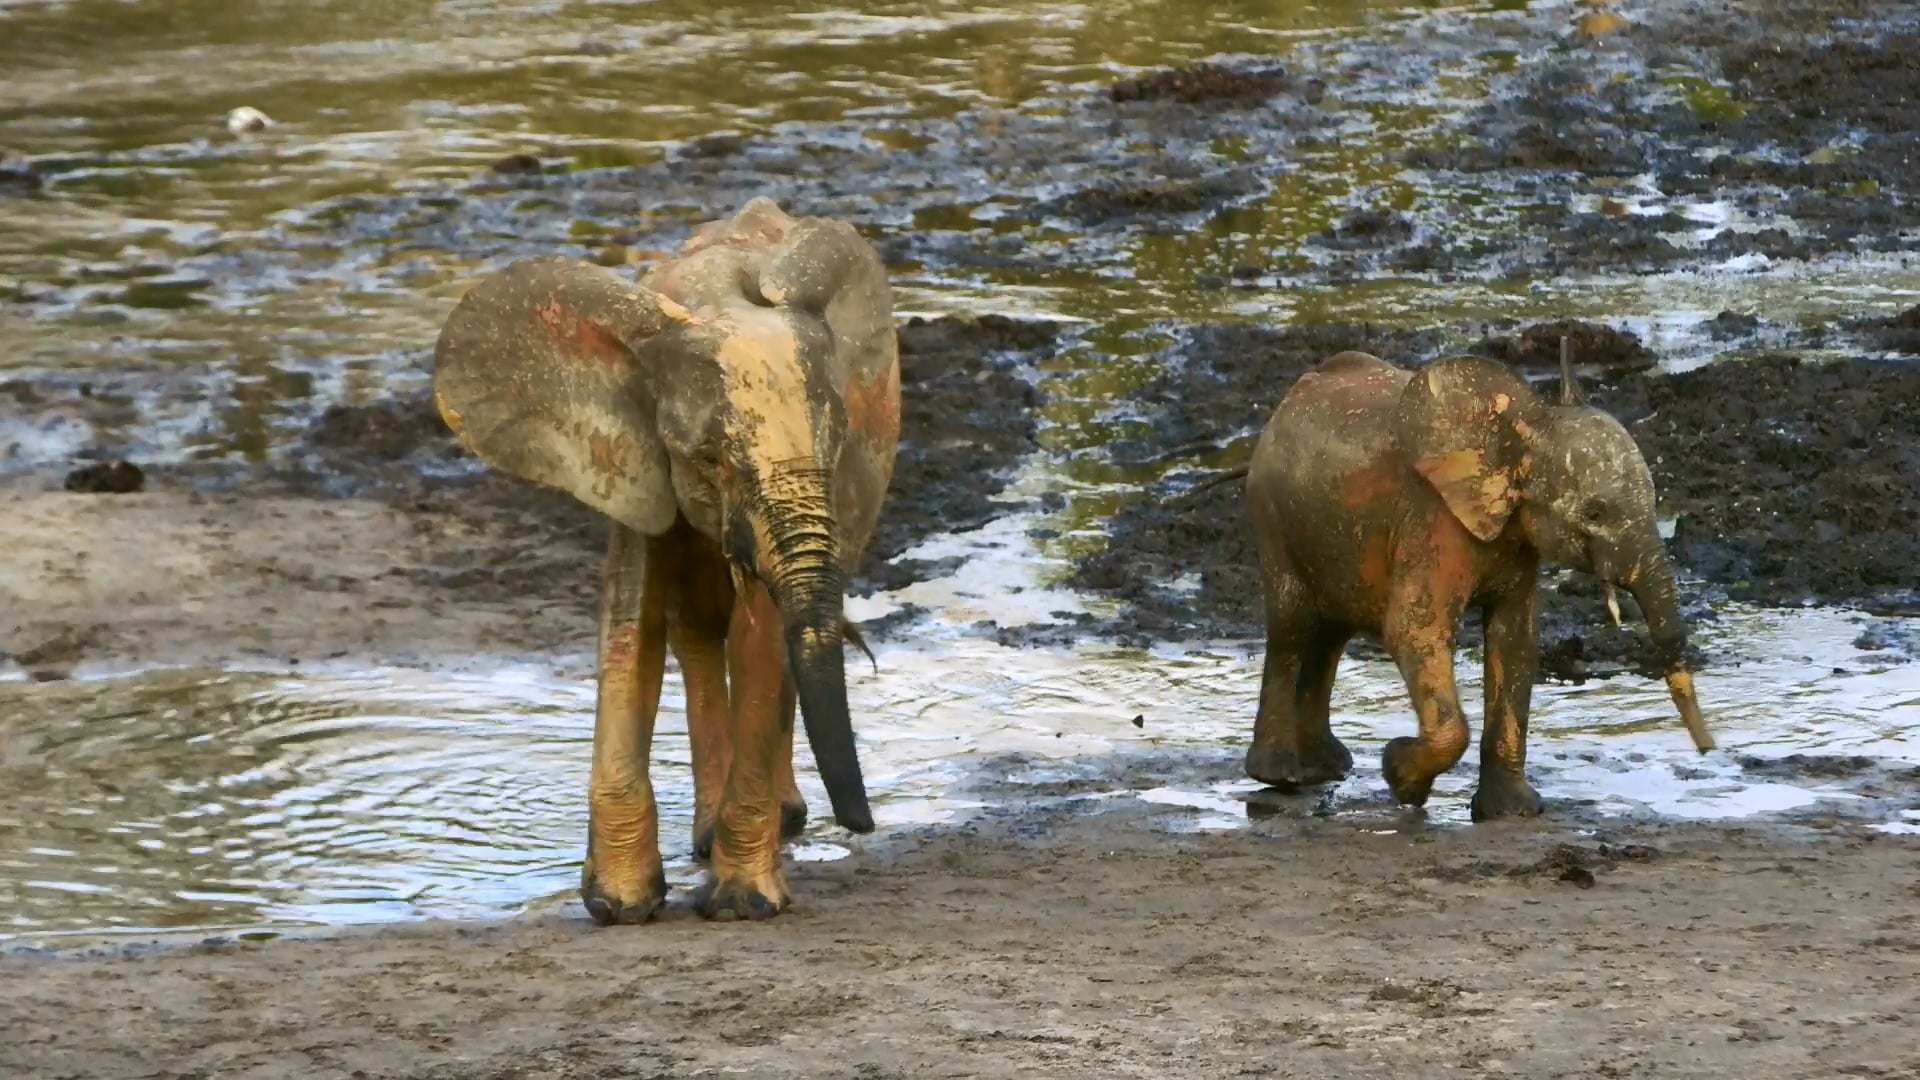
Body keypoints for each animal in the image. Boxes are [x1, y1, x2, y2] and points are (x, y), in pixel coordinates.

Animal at [431, 197, 900, 922]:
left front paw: (740, 906)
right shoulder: (632, 456)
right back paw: (718, 835)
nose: (863, 824)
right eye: (708, 457)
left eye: (843, 438)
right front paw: (619, 907)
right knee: (696, 627)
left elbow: (762, 639)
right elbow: (632, 622)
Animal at [1239, 345, 1714, 820]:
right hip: (1270, 512)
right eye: (1594, 513)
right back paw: (1283, 777)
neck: (1527, 426)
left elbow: (1515, 639)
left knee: (1330, 634)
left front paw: (1512, 812)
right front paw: (1402, 778)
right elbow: (1415, 629)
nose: (1708, 749)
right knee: (1293, 627)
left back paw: (1328, 767)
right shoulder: (1432, 519)